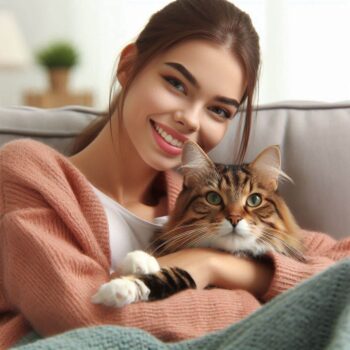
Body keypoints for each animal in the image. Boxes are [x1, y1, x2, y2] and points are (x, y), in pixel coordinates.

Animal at [92, 141, 304, 308]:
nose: (234, 219)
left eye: (254, 200)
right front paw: (139, 260)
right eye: (213, 198)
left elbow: (173, 276)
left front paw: (118, 289)